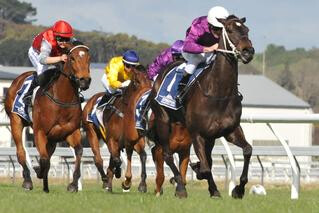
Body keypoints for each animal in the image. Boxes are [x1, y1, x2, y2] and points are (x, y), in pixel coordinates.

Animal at [4, 42, 91, 192]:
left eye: (88, 58)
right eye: (72, 58)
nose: (84, 81)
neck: (62, 98)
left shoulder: (70, 131)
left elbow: (78, 152)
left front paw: (73, 184)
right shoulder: (39, 131)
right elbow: (44, 159)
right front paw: (39, 173)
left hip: (52, 138)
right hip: (16, 121)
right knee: (21, 152)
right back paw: (27, 180)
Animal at [150, 15, 255, 198]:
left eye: (246, 30)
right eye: (229, 30)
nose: (248, 51)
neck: (219, 93)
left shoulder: (231, 131)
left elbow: (247, 150)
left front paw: (238, 189)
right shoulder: (197, 133)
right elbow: (206, 169)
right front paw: (202, 179)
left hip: (207, 136)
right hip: (163, 121)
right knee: (167, 155)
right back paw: (180, 187)